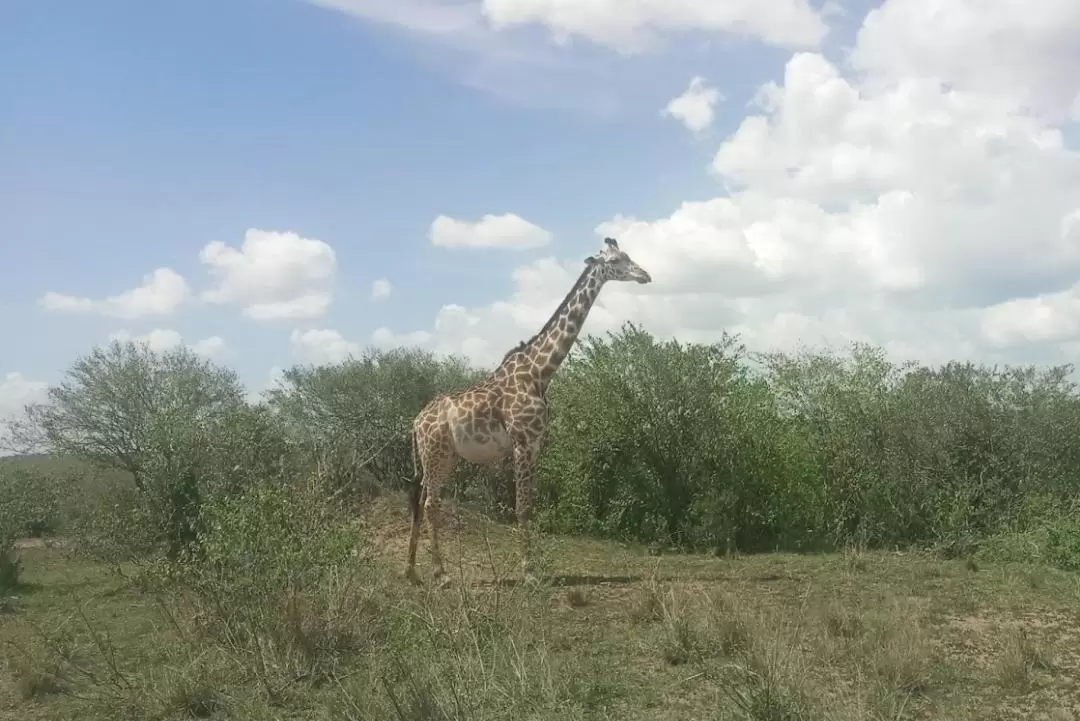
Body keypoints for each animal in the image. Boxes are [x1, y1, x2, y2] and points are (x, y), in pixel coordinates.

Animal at [406, 236, 652, 587]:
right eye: (616, 261)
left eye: (628, 256)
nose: (645, 275)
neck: (540, 372)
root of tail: (415, 423)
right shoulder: (522, 443)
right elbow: (521, 508)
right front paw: (530, 573)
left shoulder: (537, 444)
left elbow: (531, 506)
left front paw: (537, 570)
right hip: (435, 453)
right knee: (430, 503)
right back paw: (441, 575)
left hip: (441, 457)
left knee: (420, 500)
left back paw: (412, 571)